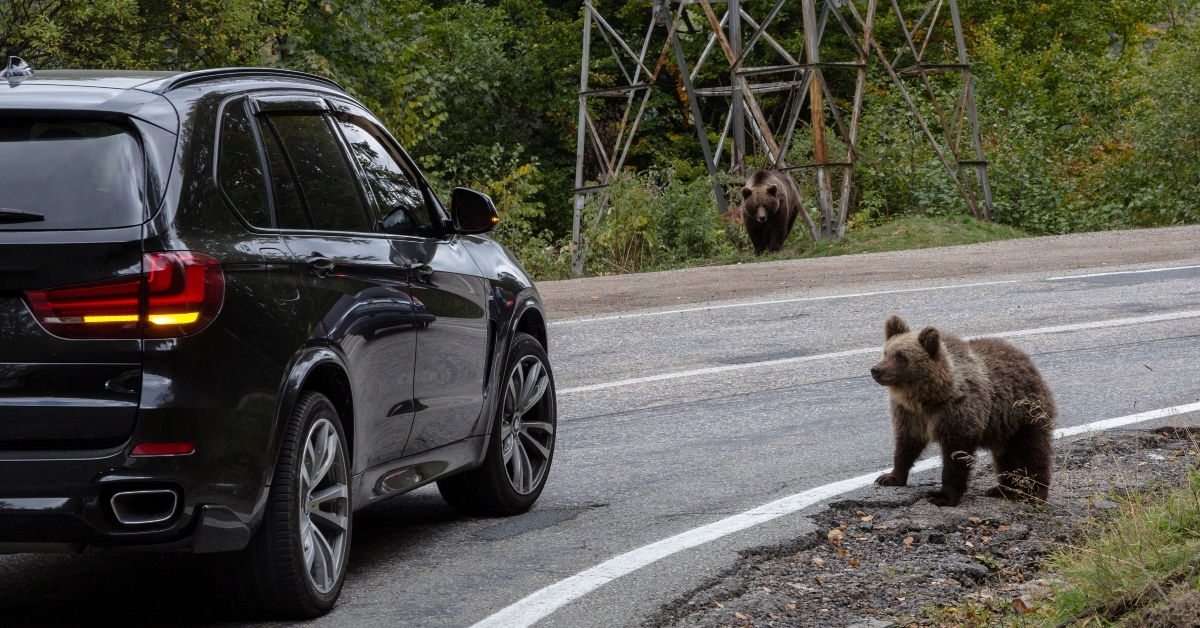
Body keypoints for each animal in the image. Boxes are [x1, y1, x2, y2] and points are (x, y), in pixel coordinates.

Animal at [870, 315, 1056, 507]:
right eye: (886, 352)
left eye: (901, 356)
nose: (876, 369)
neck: (927, 398)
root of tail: (1027, 360)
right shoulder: (910, 414)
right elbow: (906, 445)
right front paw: (889, 477)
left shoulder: (958, 412)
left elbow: (955, 457)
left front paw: (942, 496)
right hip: (1002, 427)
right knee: (1005, 457)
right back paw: (1002, 489)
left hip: (1022, 414)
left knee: (1031, 452)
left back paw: (1034, 492)